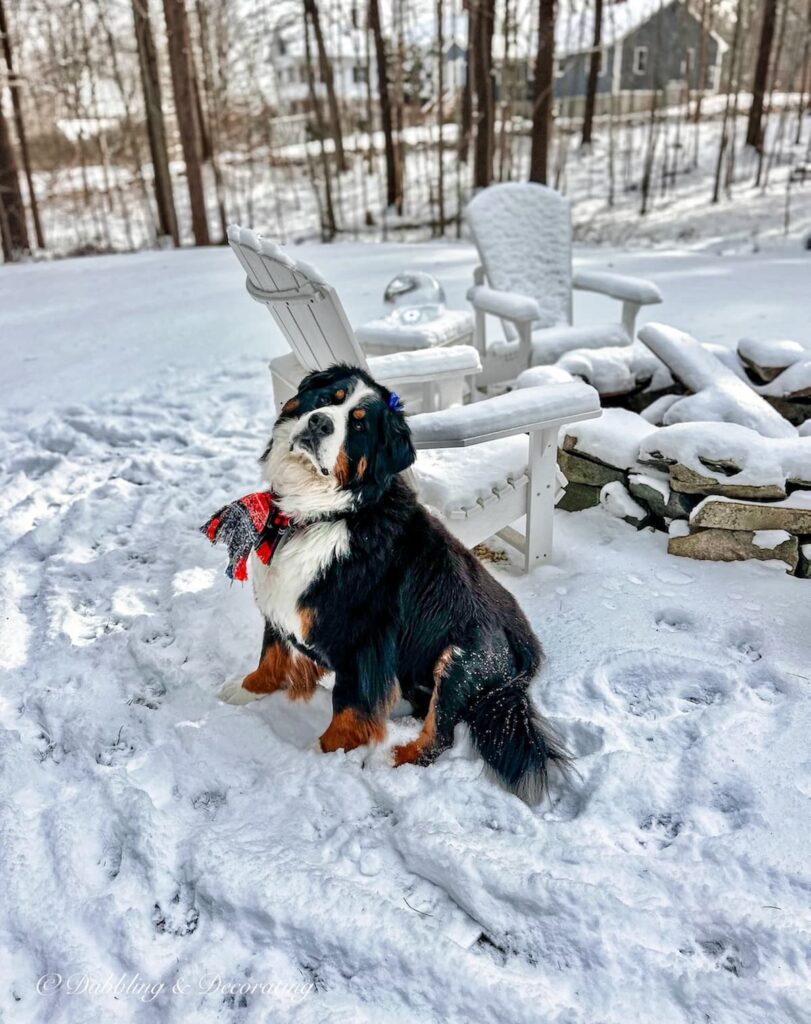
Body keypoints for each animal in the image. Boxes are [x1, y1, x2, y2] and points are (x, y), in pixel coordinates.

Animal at [218, 364, 565, 802]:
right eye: (328, 398)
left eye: (359, 426)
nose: (319, 423)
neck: (326, 514)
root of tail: (528, 647)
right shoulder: (284, 602)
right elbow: (272, 654)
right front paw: (247, 689)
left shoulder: (366, 640)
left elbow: (350, 707)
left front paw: (324, 756)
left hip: (461, 658)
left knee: (439, 736)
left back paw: (391, 757)